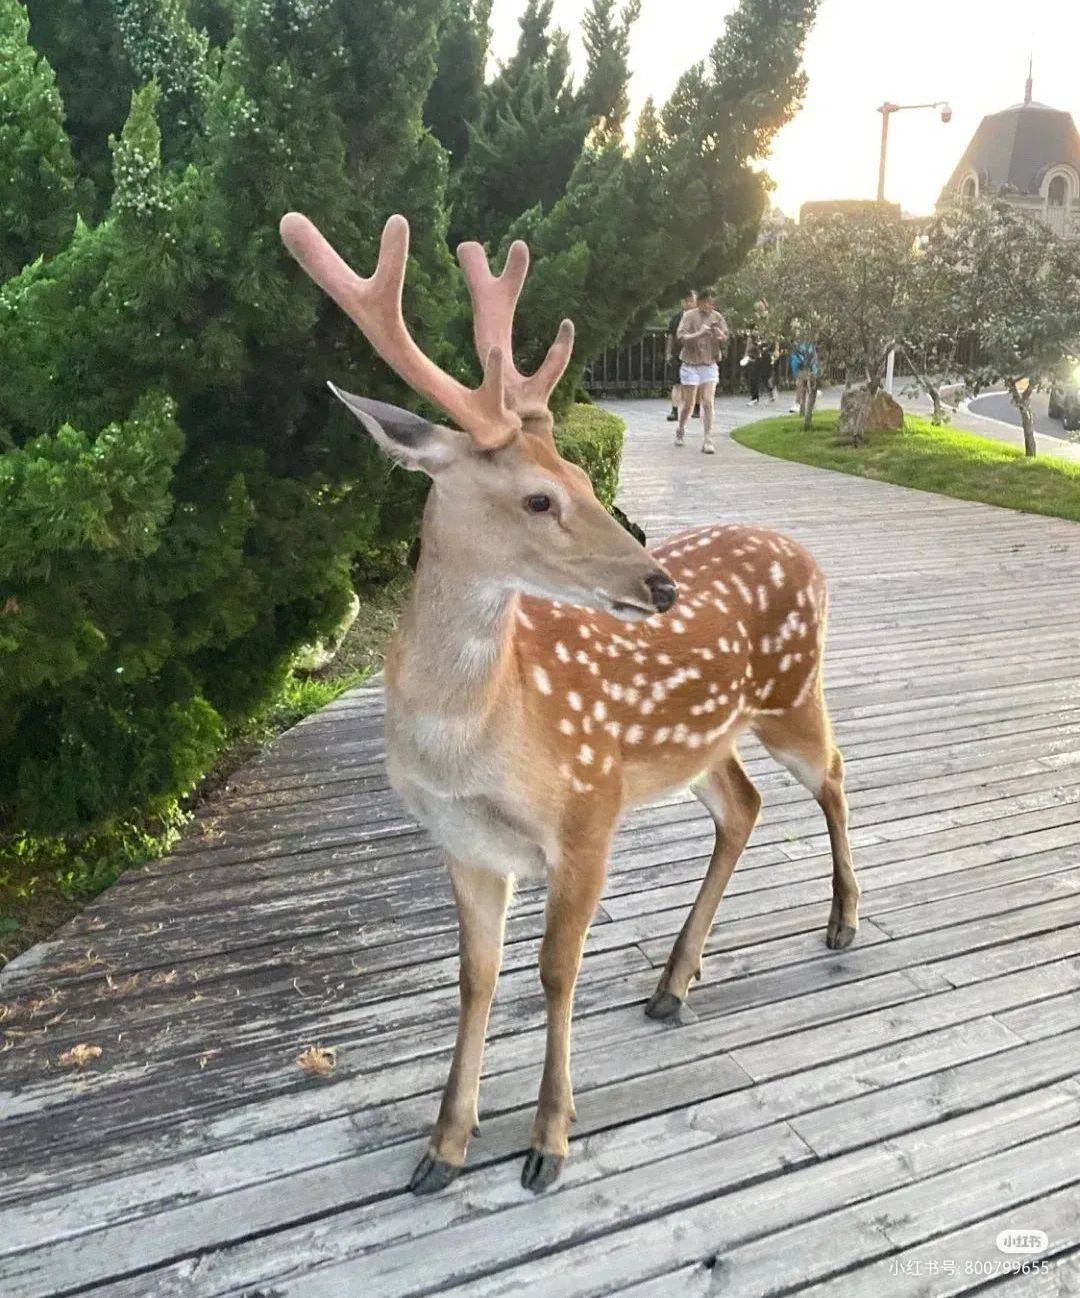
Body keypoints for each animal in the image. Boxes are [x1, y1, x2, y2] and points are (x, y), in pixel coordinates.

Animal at [280, 211, 860, 1195]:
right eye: (539, 497)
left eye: (588, 482)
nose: (661, 586)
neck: (474, 740)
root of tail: (806, 554)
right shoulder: (468, 845)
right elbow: (475, 979)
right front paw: (444, 1147)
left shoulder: (587, 814)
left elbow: (556, 972)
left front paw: (548, 1142)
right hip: (697, 744)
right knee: (742, 805)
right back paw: (673, 984)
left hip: (791, 692)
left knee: (834, 775)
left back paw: (843, 922)